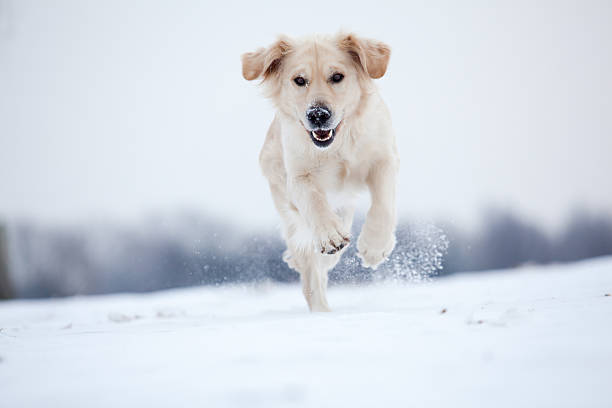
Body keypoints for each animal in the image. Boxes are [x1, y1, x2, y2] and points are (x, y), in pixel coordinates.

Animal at [241, 33, 400, 310]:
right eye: (299, 80)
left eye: (337, 76)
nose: (317, 115)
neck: (337, 145)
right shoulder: (298, 176)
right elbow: (314, 202)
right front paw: (329, 236)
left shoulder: (383, 158)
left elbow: (383, 204)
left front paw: (374, 246)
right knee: (311, 279)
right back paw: (322, 311)